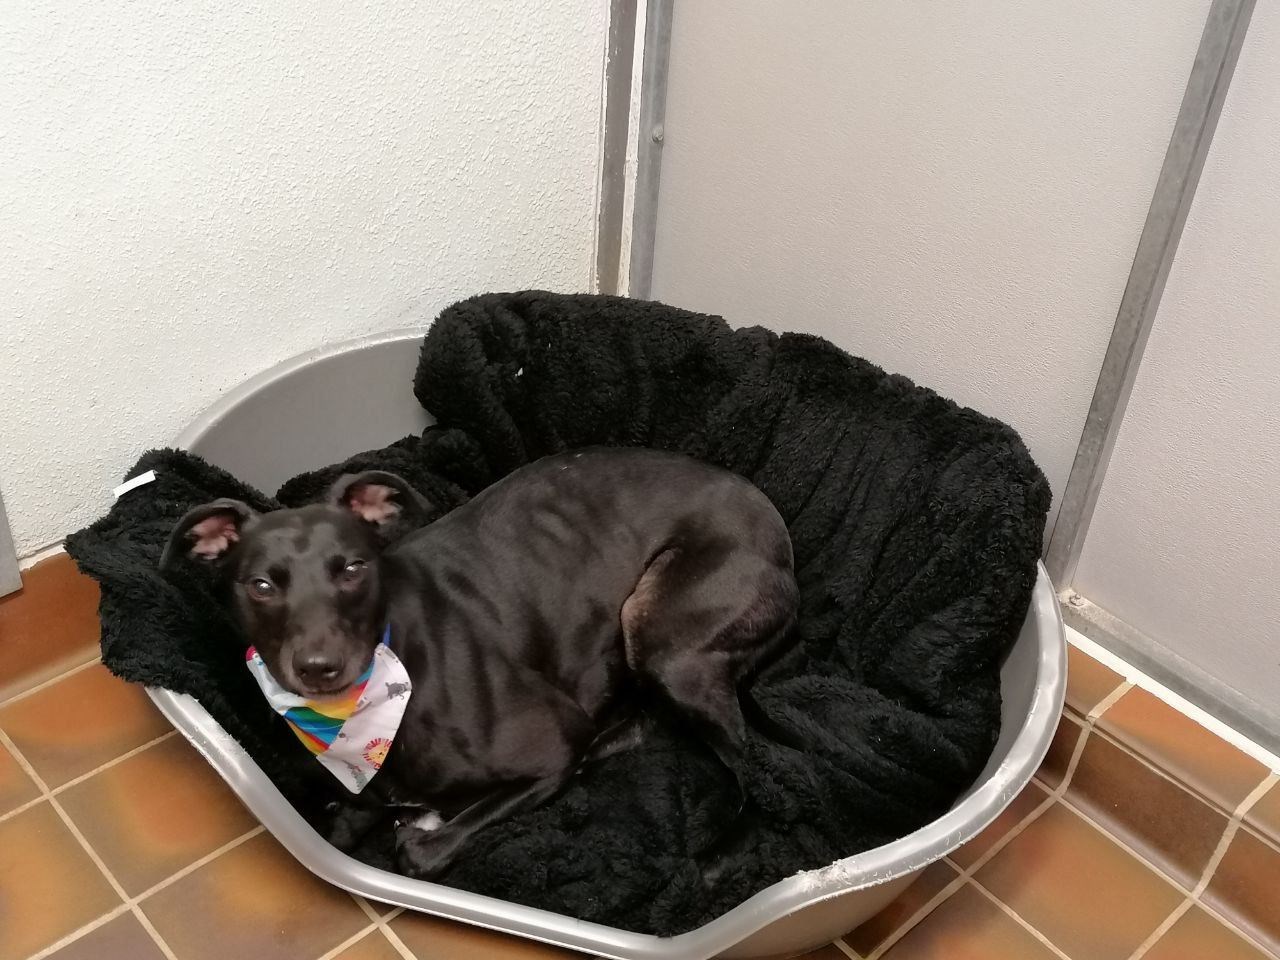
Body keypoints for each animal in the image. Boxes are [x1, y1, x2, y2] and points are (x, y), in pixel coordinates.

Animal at [161, 450, 798, 880]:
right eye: (261, 585)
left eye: (354, 568)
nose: (321, 668)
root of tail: (775, 525)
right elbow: (341, 823)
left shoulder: (551, 748)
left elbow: (418, 852)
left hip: (662, 638)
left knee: (752, 767)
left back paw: (724, 850)